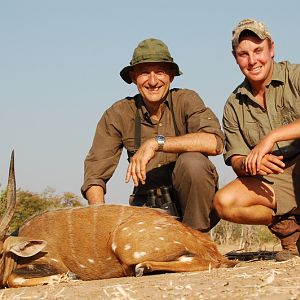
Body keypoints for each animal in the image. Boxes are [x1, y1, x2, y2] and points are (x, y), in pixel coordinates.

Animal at [0, 152, 237, 288]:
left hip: (125, 245)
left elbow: (13, 279)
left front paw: (66, 278)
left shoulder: (52, 263)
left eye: (0, 252)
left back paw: (144, 267)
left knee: (211, 262)